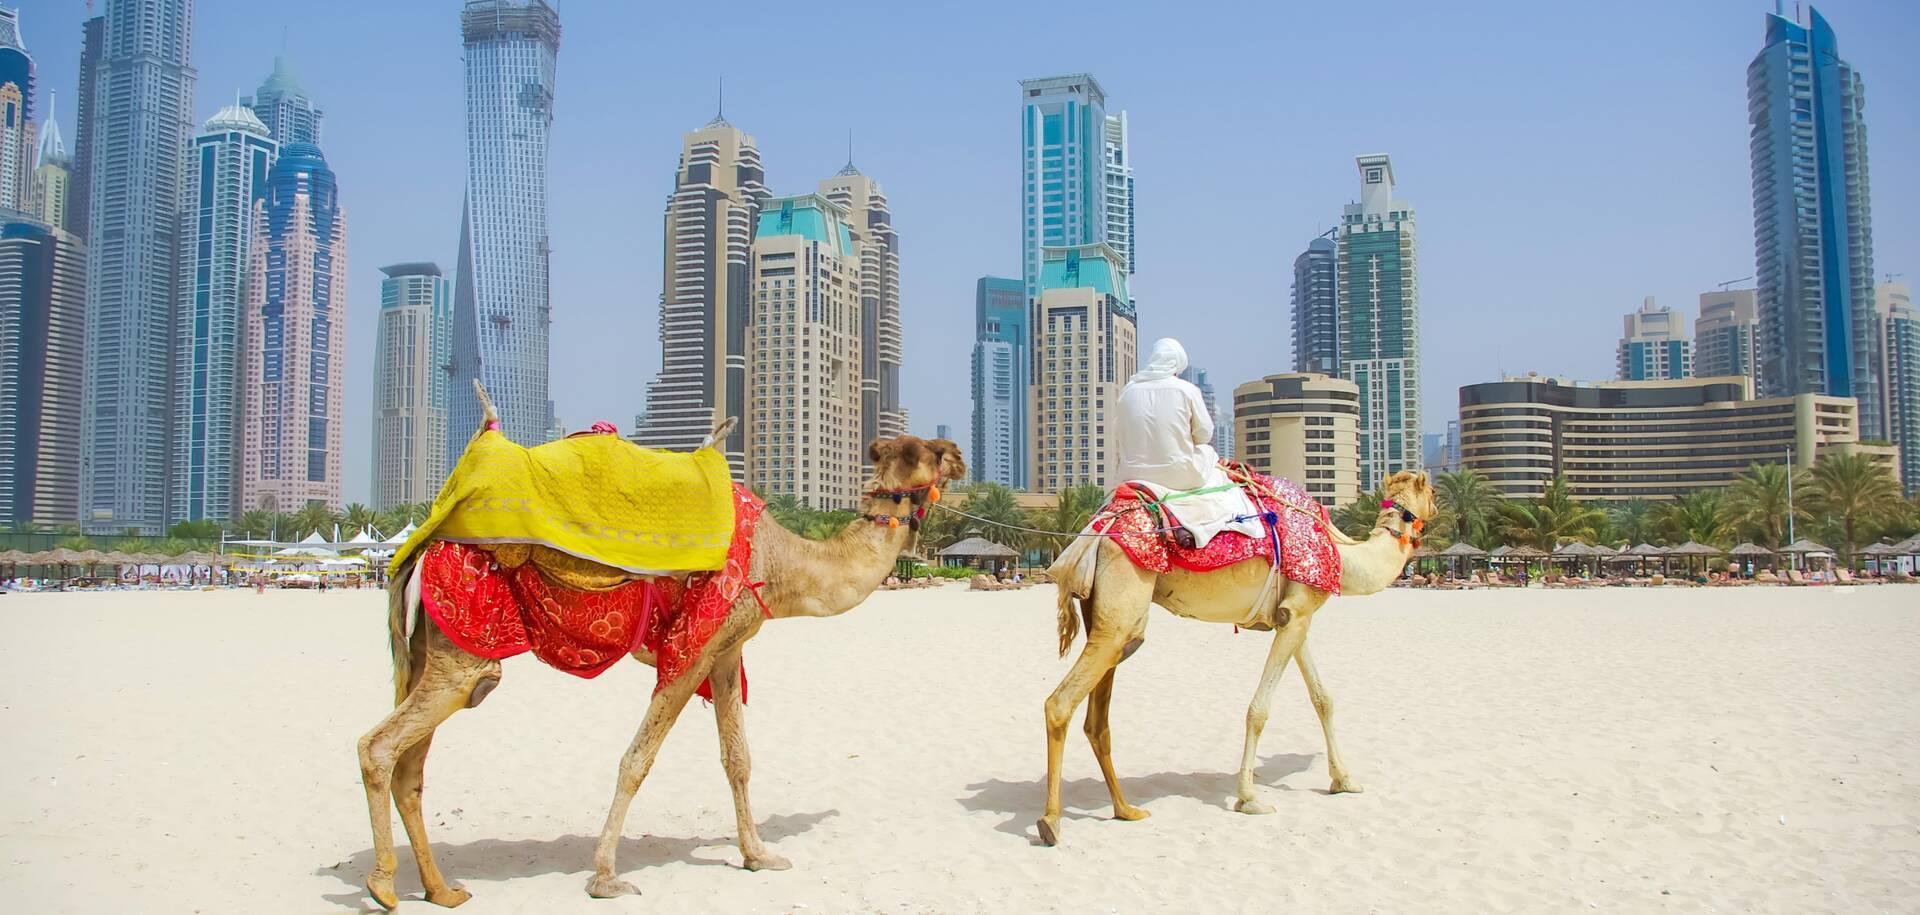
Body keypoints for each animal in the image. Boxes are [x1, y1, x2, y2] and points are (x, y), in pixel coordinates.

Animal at [355, 389, 964, 908]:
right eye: (929, 452)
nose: (958, 454)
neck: (779, 562)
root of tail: (418, 551)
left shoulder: (727, 649)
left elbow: (737, 758)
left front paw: (759, 856)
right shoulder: (689, 648)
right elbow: (636, 760)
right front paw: (606, 878)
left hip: (431, 653)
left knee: (411, 768)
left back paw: (441, 890)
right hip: (464, 646)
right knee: (379, 746)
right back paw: (383, 885)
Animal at [1036, 470, 1435, 845]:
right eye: (1433, 491)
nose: (1438, 507)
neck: (1343, 555)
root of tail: (1096, 529)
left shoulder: (1293, 616)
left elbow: (1323, 698)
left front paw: (1344, 780)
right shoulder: (1298, 610)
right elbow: (1259, 709)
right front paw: (1249, 798)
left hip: (1107, 617)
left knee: (1096, 720)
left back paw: (1126, 810)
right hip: (1123, 608)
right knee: (1060, 703)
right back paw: (1051, 821)